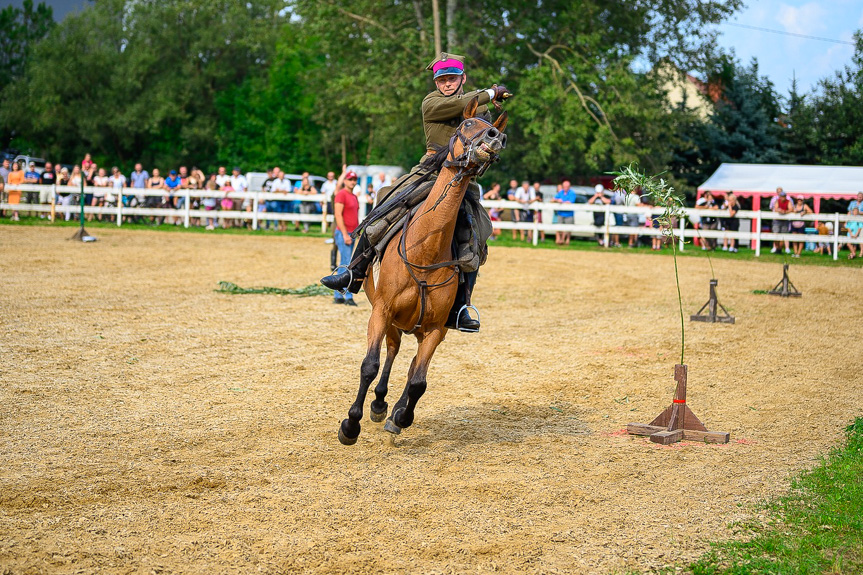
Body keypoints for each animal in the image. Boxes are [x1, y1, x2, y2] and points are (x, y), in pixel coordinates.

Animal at [338, 98, 510, 446]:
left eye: (493, 126)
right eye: (467, 125)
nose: (495, 137)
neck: (426, 249)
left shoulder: (436, 330)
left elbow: (419, 380)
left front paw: (401, 417)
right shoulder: (381, 311)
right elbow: (370, 365)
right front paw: (351, 425)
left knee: (411, 364)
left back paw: (390, 409)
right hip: (389, 318)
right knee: (391, 350)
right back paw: (378, 403)